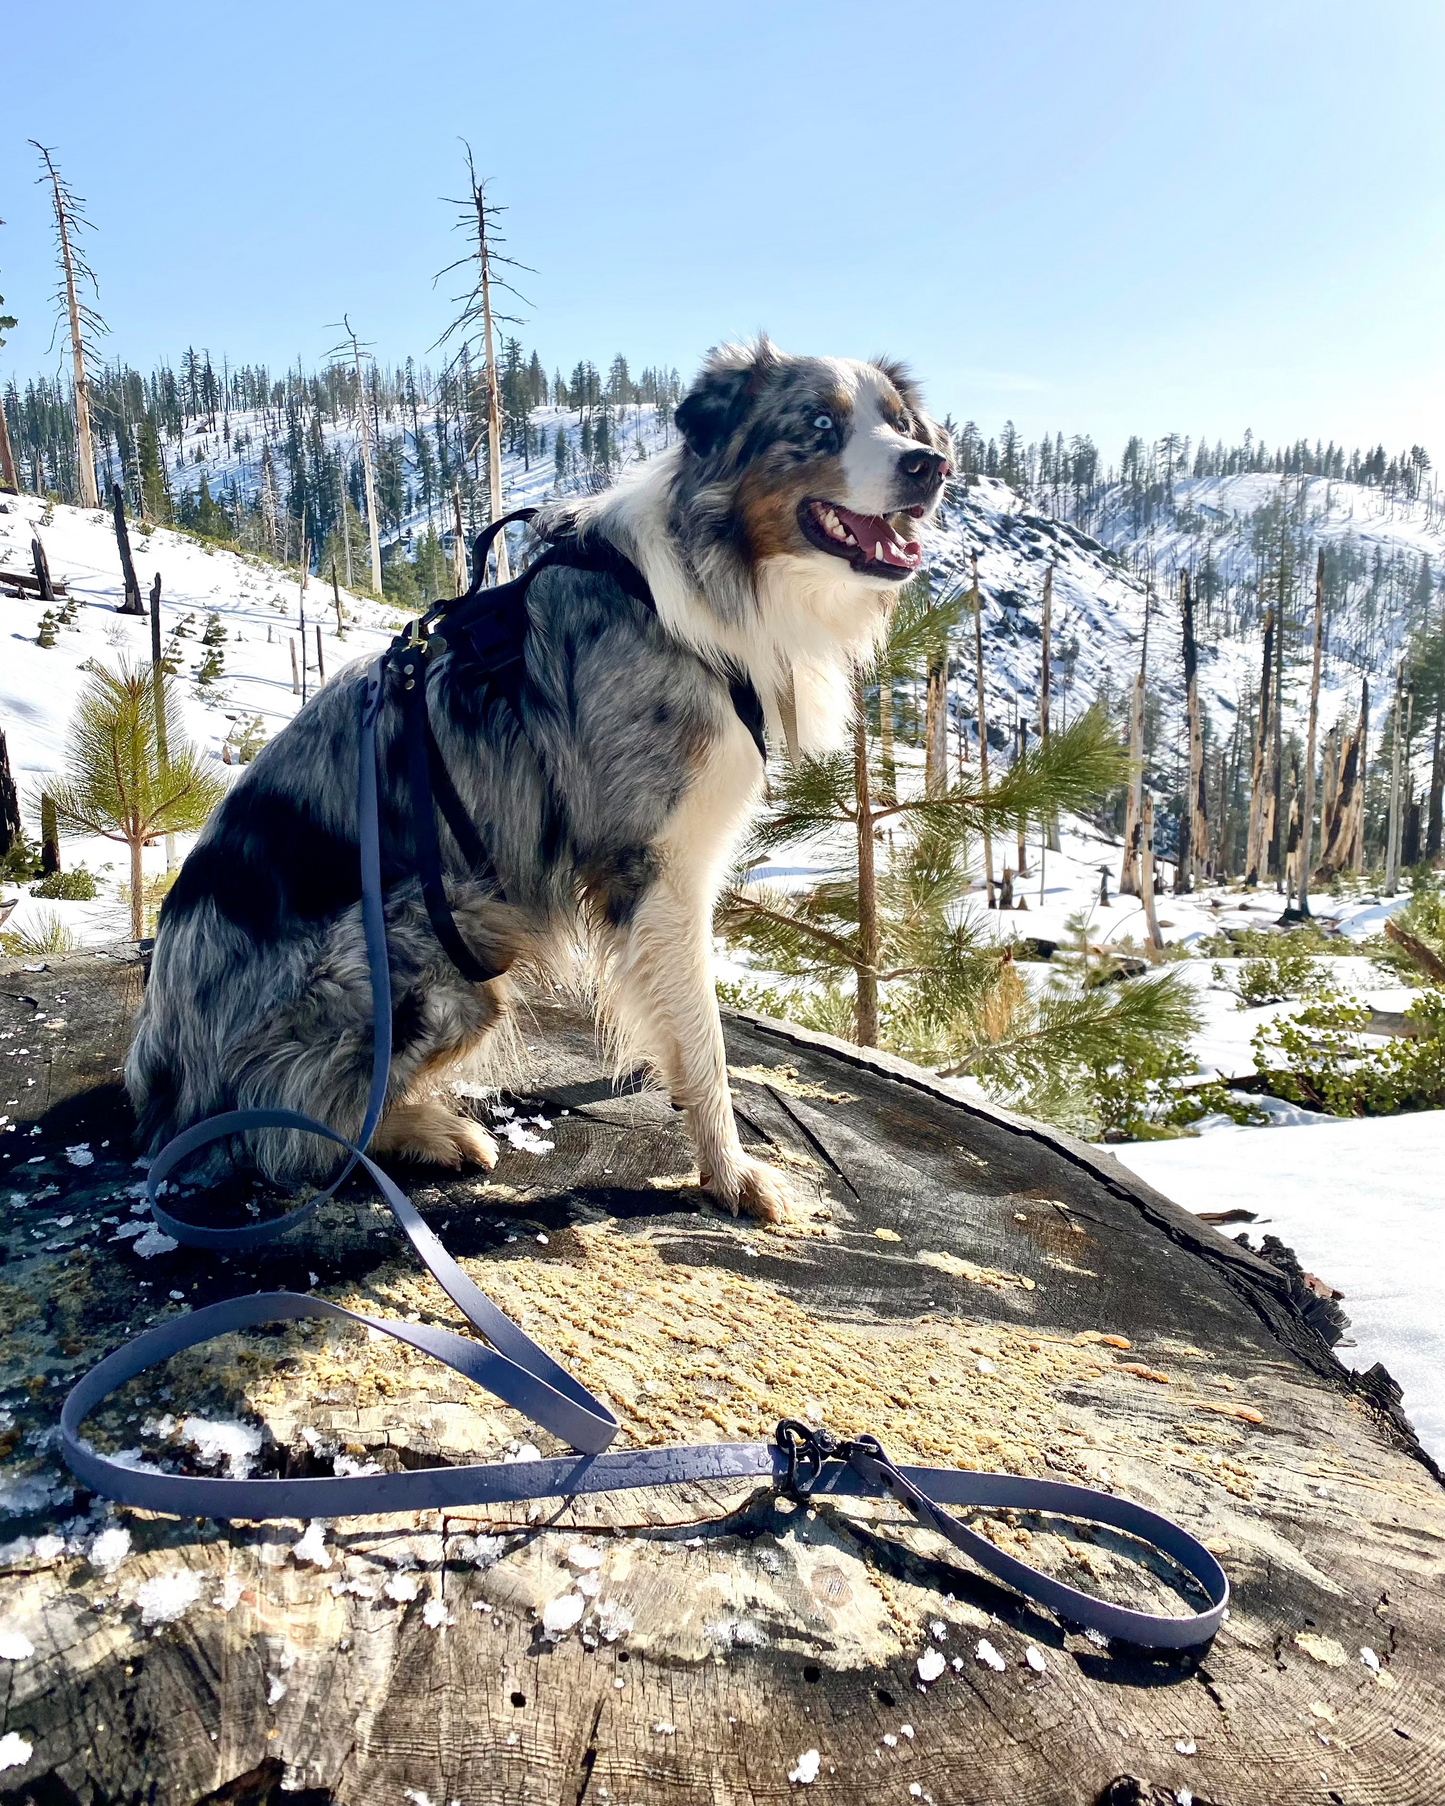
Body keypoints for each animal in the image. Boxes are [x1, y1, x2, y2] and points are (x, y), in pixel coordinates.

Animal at [130, 335, 953, 1228]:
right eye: (817, 425)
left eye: (900, 423)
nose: (930, 464)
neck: (702, 589)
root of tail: (160, 1072)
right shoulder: (655, 866)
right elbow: (703, 1034)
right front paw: (728, 1170)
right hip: (445, 940)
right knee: (284, 1123)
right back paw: (429, 1129)